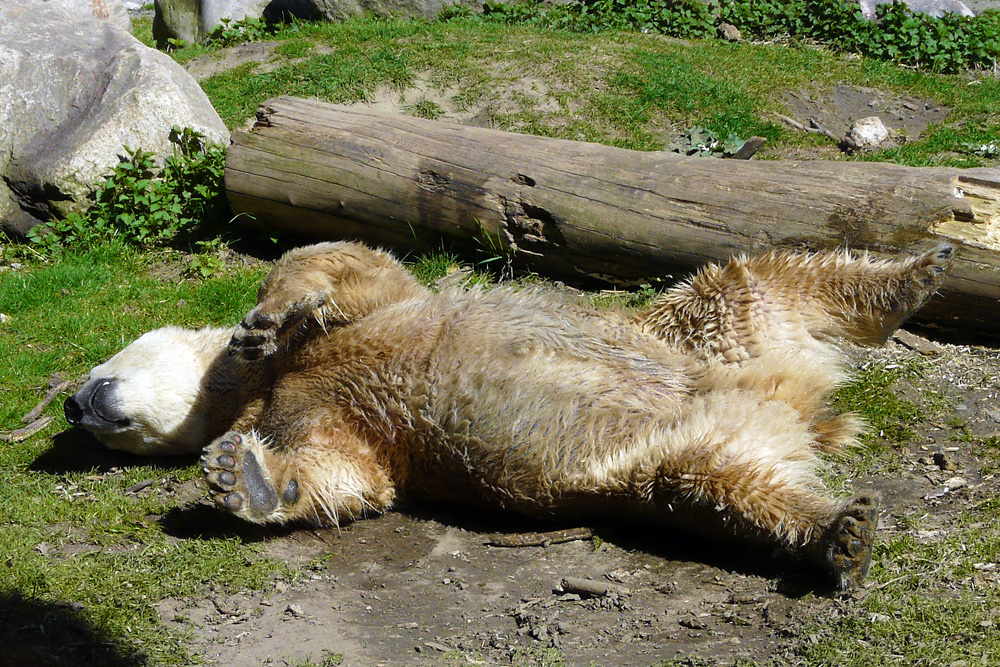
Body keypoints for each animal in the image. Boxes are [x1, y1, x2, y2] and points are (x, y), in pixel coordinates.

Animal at [62, 241, 952, 588]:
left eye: (97, 374)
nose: (74, 403)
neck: (259, 383)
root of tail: (799, 400)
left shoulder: (372, 316)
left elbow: (351, 267)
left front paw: (269, 312)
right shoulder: (324, 415)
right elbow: (345, 471)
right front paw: (241, 475)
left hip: (682, 331)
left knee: (752, 279)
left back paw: (917, 271)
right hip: (701, 421)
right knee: (714, 477)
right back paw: (839, 530)